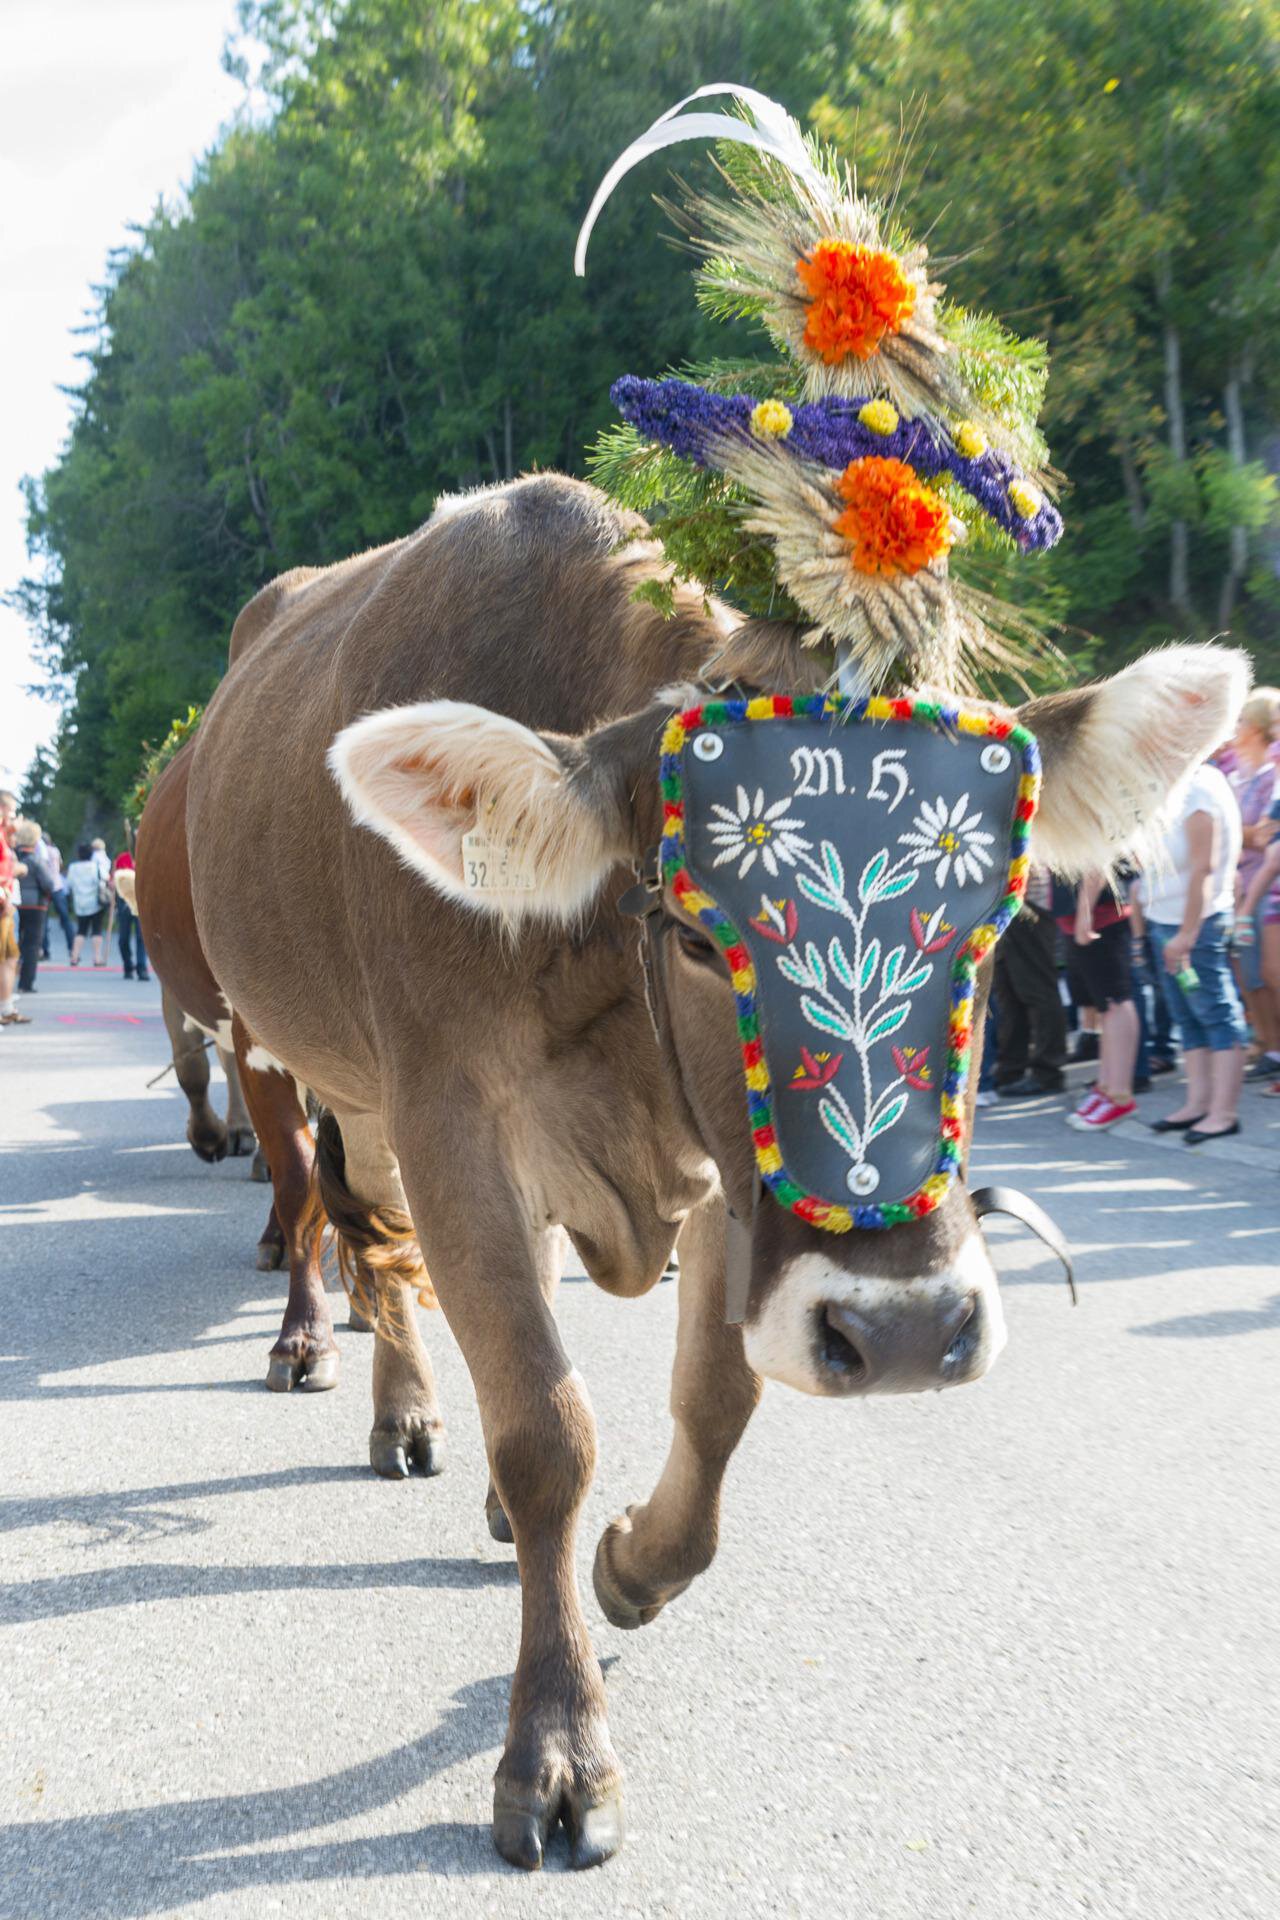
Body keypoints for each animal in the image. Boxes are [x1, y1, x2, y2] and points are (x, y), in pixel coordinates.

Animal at [184, 474, 1245, 1870]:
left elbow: (714, 1401)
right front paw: (557, 1749)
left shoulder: (722, 1175)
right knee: (358, 1235)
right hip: (305, 1062)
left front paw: (632, 1563)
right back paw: (393, 1403)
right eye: (695, 932)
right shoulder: (449, 1118)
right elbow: (542, 1427)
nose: (905, 1333)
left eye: (1002, 918)